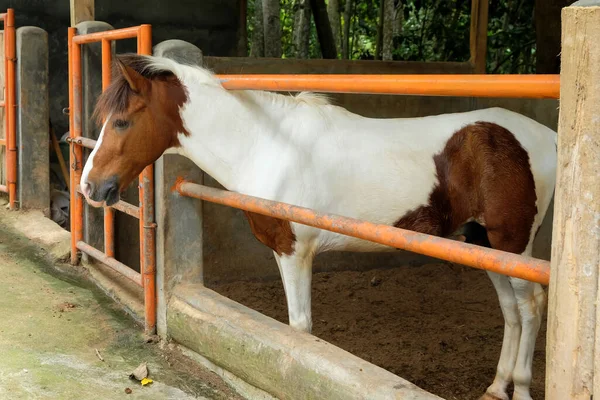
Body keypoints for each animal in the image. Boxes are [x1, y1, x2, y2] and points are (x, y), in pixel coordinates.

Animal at [79, 54, 556, 400]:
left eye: (121, 121)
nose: (89, 187)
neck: (267, 145)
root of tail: (548, 136)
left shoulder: (296, 252)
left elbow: (300, 331)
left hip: (514, 245)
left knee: (531, 305)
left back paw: (522, 389)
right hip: (484, 243)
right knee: (511, 310)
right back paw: (496, 387)